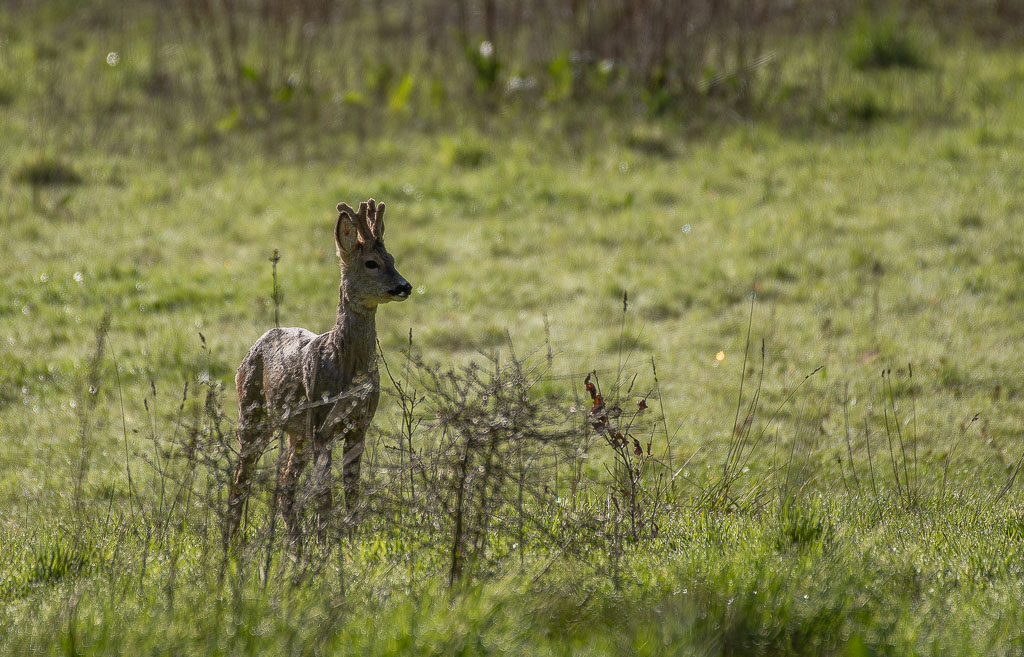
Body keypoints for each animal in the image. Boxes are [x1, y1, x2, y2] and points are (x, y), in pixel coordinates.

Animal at [229, 196, 411, 540]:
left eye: (393, 259)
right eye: (371, 263)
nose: (404, 286)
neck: (345, 365)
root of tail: (255, 345)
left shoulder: (359, 424)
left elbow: (352, 490)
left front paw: (351, 538)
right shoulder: (320, 424)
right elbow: (324, 493)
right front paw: (325, 540)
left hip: (294, 432)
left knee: (284, 483)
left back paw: (293, 539)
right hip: (252, 412)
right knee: (240, 478)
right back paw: (233, 540)